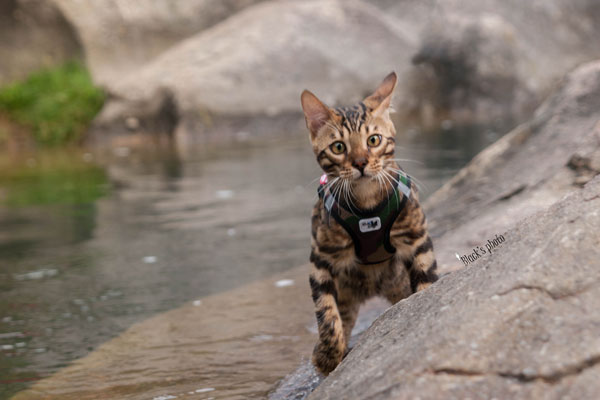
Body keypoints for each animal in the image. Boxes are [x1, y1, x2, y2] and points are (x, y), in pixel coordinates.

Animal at [298, 72, 436, 376]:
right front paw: (328, 354)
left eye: (374, 140)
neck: (366, 203)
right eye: (338, 147)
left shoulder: (417, 238)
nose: (361, 163)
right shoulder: (321, 257)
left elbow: (426, 283)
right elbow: (326, 312)